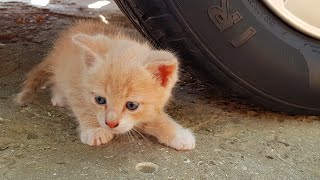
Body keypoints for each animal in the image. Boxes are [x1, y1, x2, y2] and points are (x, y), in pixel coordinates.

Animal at [16, 19, 195, 150]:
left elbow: (156, 118)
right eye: (100, 100)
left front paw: (178, 133)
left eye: (131, 105)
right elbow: (82, 107)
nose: (110, 124)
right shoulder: (76, 85)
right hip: (60, 67)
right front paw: (94, 129)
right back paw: (59, 96)